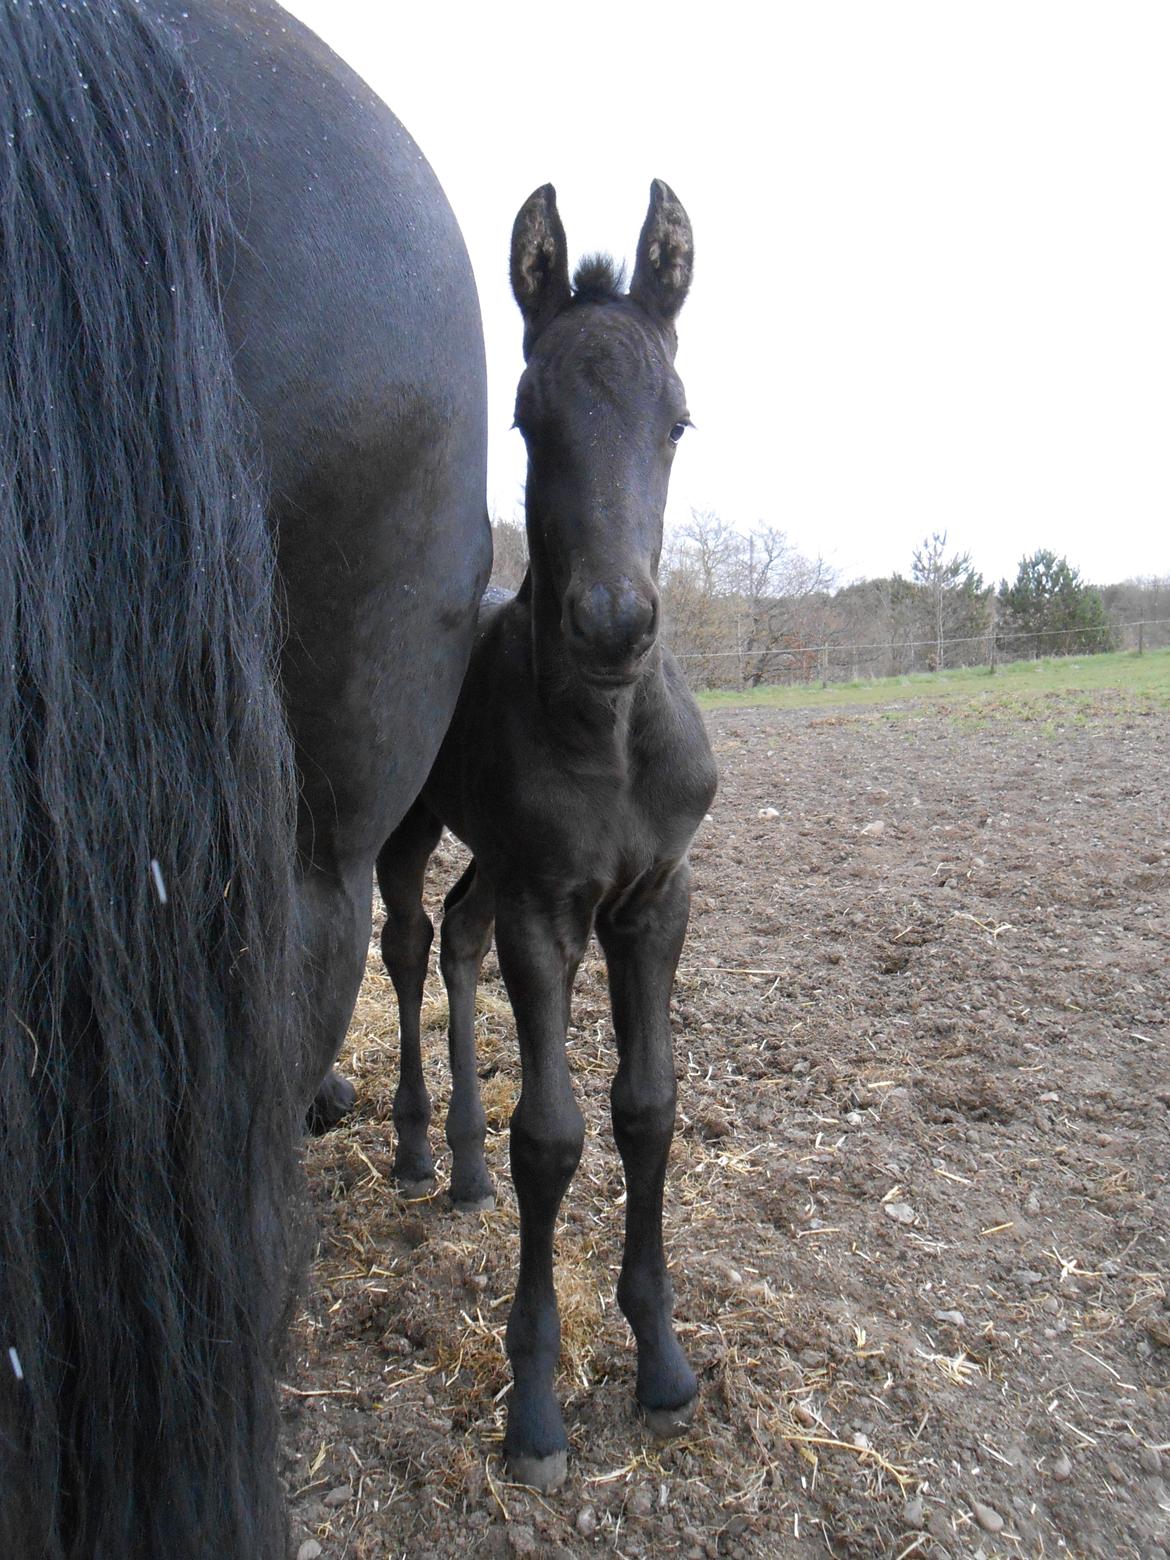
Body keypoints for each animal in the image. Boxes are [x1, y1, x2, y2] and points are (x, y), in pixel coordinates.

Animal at [380, 179, 720, 1485]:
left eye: (678, 420)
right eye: (527, 421)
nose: (615, 624)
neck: (612, 736)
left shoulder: (651, 901)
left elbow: (647, 1110)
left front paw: (663, 1365)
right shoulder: (547, 907)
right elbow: (555, 1136)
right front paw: (533, 1409)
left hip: (496, 863)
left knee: (459, 936)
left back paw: (465, 1168)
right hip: (417, 828)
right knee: (412, 942)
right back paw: (422, 1149)